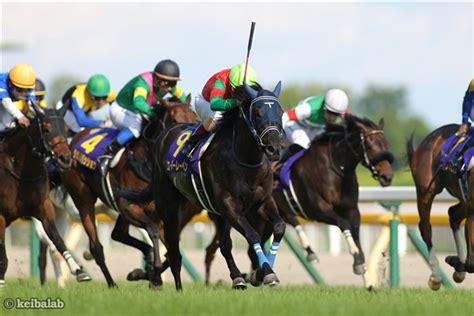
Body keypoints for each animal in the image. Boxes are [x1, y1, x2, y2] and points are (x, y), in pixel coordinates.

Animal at [0, 103, 90, 286]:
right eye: (47, 128)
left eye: (65, 128)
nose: (65, 158)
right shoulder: (1, 216)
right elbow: (2, 254)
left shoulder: (44, 208)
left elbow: (57, 239)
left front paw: (78, 270)